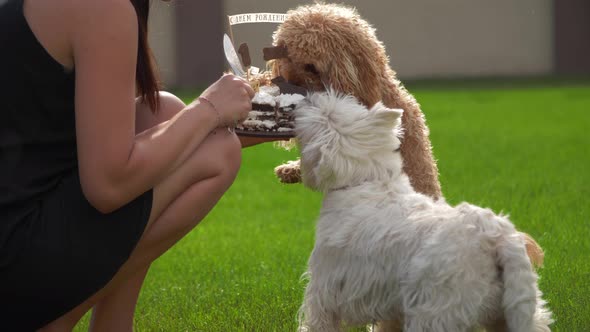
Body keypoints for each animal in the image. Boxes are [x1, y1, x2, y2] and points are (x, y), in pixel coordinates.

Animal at [296, 89, 556, 330]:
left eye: (326, 112)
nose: (309, 96)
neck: (364, 178)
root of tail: (497, 238)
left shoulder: (325, 287)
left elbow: (318, 321)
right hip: (511, 309)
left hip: (436, 311)